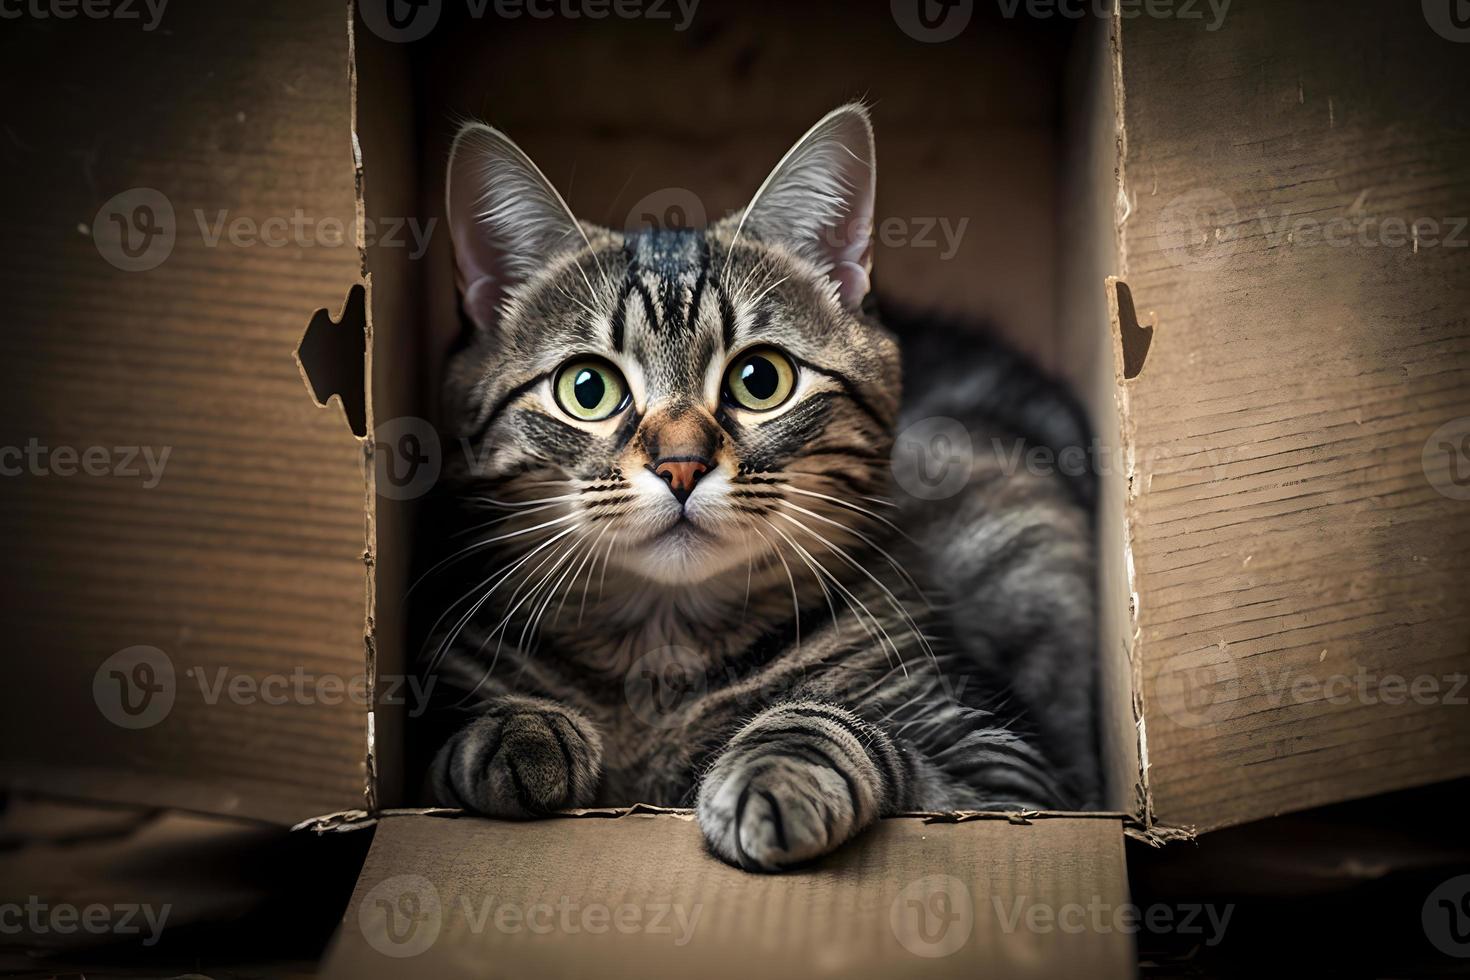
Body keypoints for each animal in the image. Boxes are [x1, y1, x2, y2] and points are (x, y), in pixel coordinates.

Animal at [420, 105, 1099, 875]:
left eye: (760, 379)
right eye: (586, 389)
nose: (681, 464)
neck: (663, 649)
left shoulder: (1010, 777)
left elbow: (846, 727)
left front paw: (778, 768)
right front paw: (518, 729)